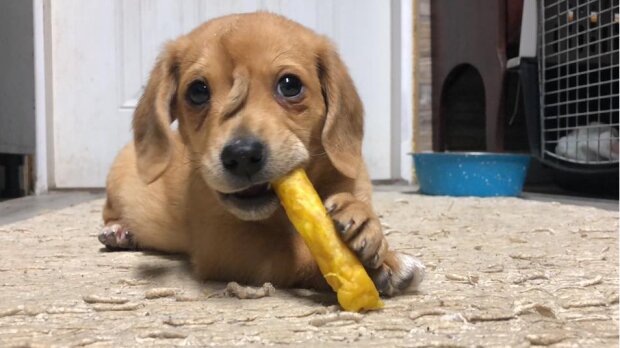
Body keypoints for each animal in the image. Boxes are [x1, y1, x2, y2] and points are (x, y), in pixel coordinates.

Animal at [99, 12, 424, 296]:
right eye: (197, 91)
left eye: (290, 85)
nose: (242, 155)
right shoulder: (226, 244)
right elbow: (296, 252)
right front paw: (373, 267)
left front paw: (362, 220)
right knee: (108, 212)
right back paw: (118, 231)